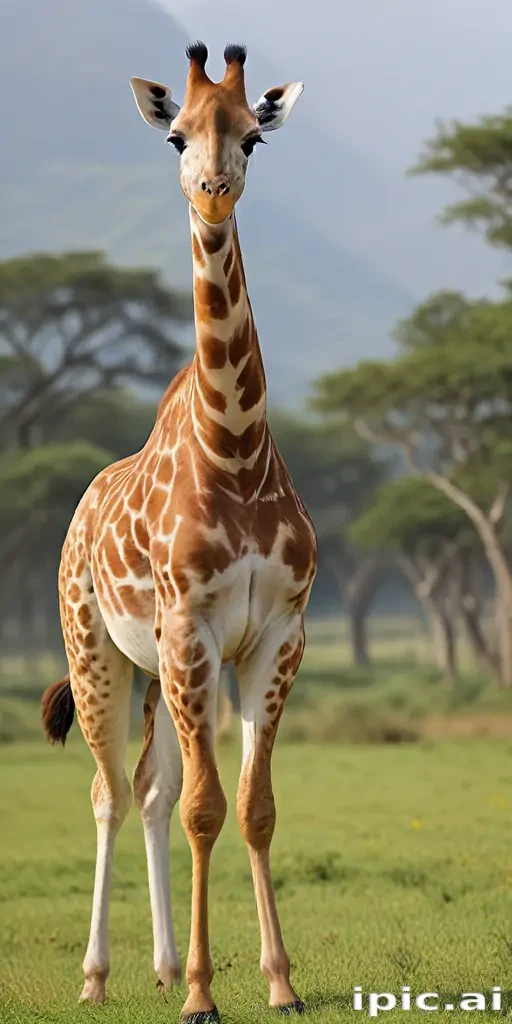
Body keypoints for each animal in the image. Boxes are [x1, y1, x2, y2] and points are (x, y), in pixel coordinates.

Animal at [41, 41, 317, 1023]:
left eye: (252, 137)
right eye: (175, 135)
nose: (212, 188)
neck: (234, 451)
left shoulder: (276, 637)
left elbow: (253, 806)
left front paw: (278, 983)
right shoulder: (192, 631)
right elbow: (207, 807)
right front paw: (205, 996)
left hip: (158, 672)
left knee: (152, 791)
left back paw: (159, 966)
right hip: (100, 653)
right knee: (110, 793)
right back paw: (98, 976)